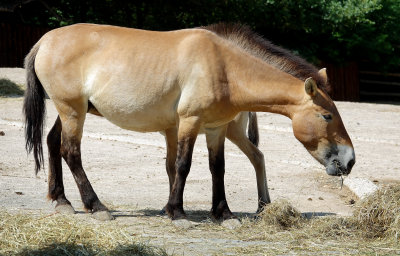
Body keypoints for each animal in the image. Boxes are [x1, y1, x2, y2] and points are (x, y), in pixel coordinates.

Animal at [22, 23, 354, 221]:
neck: (224, 68)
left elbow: (216, 168)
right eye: (327, 115)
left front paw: (223, 213)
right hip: (72, 111)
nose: (349, 161)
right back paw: (96, 206)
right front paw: (176, 211)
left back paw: (62, 201)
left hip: (70, 111)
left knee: (53, 143)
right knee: (71, 152)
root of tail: (44, 41)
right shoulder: (189, 123)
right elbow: (182, 165)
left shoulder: (215, 128)